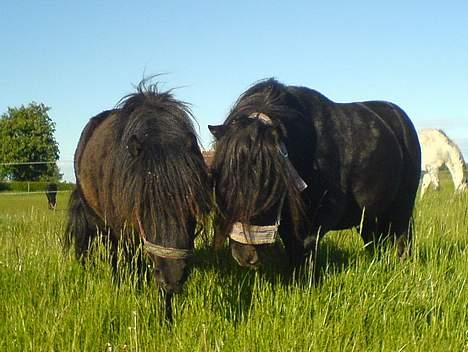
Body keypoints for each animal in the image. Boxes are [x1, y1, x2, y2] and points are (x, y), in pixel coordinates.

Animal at [208, 78, 420, 274]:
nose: (245, 256)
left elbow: (306, 244)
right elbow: (292, 246)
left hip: (403, 204)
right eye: (221, 182)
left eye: (268, 186)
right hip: (368, 214)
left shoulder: (326, 212)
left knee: (403, 235)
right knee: (373, 239)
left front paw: (305, 280)